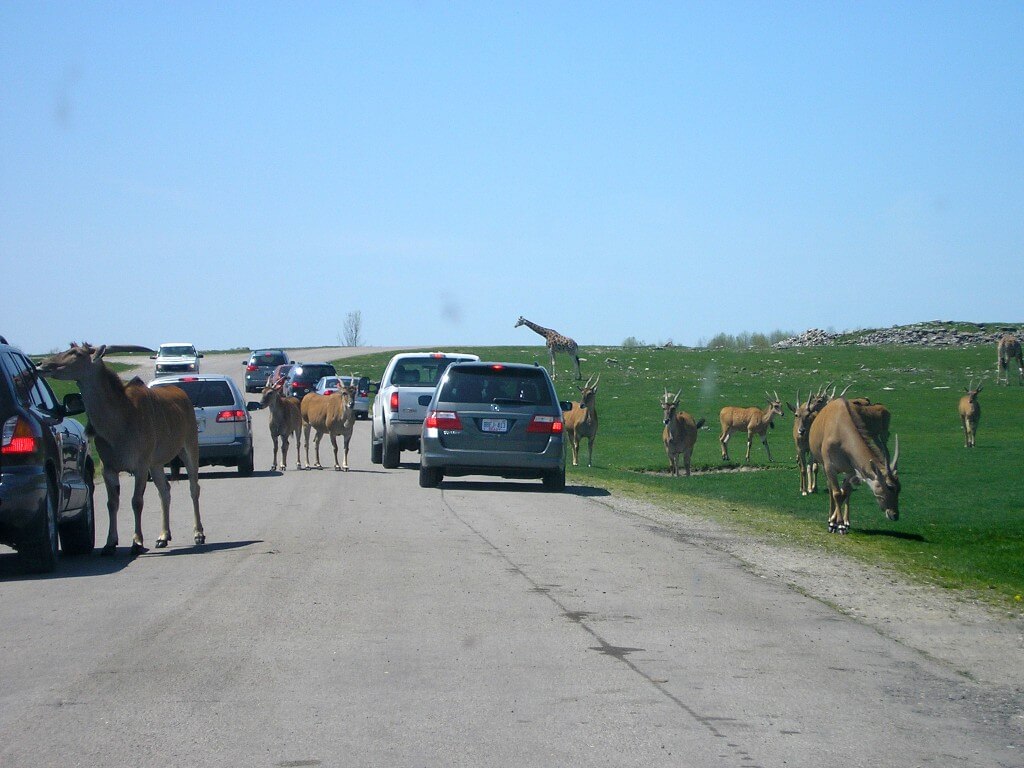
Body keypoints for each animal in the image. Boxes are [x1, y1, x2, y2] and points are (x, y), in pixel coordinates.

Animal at [39, 346, 203, 557]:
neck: (120, 419)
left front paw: (137, 542)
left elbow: (136, 501)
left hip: (188, 449)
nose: (41, 364)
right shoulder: (109, 469)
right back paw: (163, 537)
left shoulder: (140, 467)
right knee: (164, 491)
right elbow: (112, 503)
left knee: (193, 488)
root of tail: (182, 394)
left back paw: (198, 534)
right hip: (156, 464)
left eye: (76, 353)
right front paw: (110, 544)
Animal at [806, 397, 897, 536]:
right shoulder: (829, 467)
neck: (841, 430)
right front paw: (835, 524)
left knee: (846, 492)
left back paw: (845, 522)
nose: (895, 514)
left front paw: (841, 524)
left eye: (899, 489)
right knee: (832, 490)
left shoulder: (851, 471)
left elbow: (844, 494)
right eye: (890, 487)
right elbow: (836, 494)